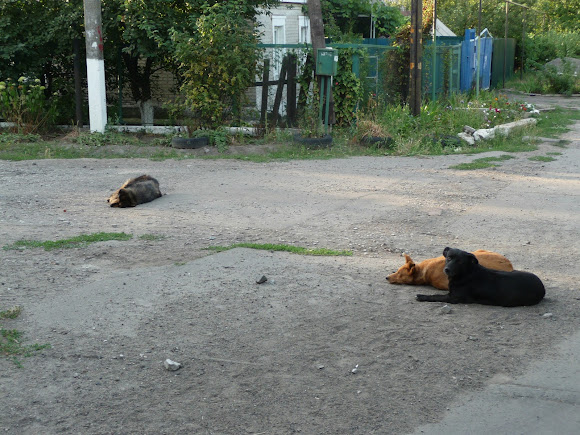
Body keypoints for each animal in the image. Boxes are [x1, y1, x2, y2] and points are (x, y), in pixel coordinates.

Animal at [416, 247, 544, 308]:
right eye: (449, 258)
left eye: (460, 262)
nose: (447, 270)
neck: (467, 273)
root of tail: (543, 288)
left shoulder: (453, 298)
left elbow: (436, 296)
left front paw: (422, 296)